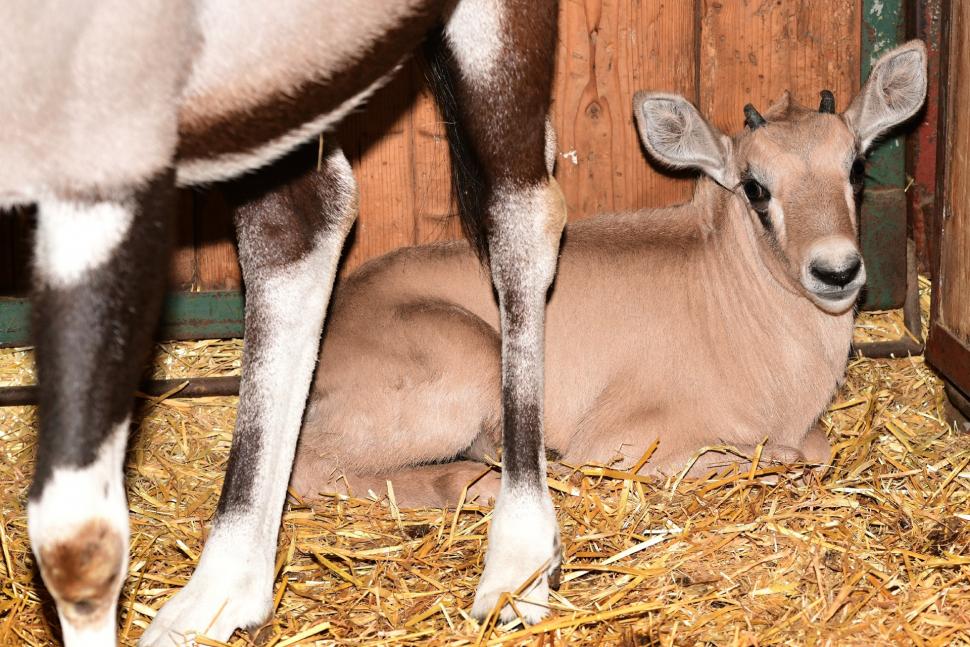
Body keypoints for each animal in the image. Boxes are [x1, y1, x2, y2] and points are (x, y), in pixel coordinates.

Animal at [294, 40, 924, 556]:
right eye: (755, 187)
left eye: (856, 167)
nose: (837, 271)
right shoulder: (617, 443)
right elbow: (774, 456)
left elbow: (816, 449)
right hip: (464, 367)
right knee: (313, 472)